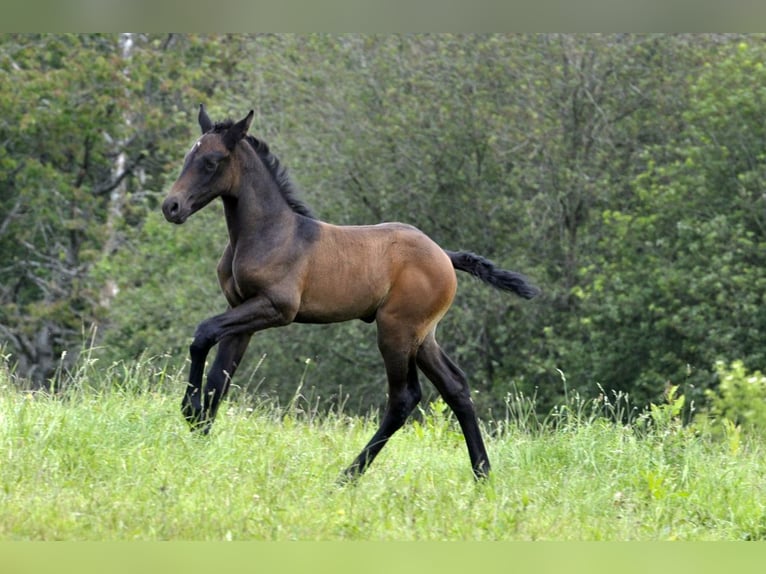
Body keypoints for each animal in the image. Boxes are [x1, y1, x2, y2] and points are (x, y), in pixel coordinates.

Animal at [160, 104, 540, 482]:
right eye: (188, 156)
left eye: (212, 161)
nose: (171, 207)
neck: (271, 232)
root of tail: (445, 256)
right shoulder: (242, 310)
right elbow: (219, 375)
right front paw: (200, 438)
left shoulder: (275, 308)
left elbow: (203, 333)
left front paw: (190, 411)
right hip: (423, 336)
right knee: (456, 388)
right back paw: (482, 474)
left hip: (396, 330)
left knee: (404, 398)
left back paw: (347, 476)